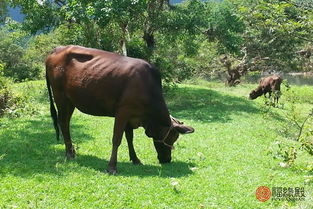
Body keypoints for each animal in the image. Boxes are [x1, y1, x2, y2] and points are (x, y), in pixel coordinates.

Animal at [45, 45, 194, 175]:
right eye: (172, 138)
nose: (167, 160)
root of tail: (57, 49)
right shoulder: (123, 112)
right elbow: (117, 139)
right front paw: (112, 167)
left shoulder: (131, 116)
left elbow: (130, 138)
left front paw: (135, 159)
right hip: (61, 97)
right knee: (63, 123)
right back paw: (69, 153)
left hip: (71, 101)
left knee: (65, 123)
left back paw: (71, 151)